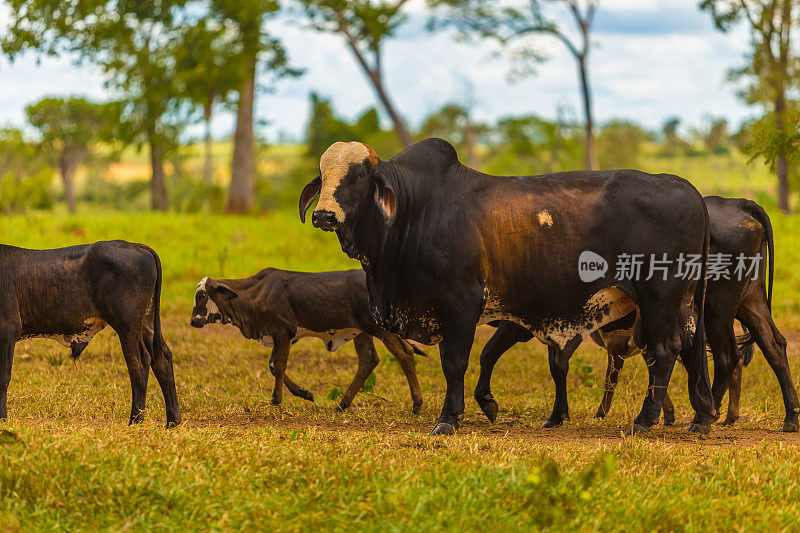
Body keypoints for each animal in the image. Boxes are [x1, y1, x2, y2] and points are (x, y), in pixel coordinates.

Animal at [0, 240, 180, 424]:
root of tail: (133, 245)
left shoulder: (8, 328)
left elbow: (3, 377)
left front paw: (3, 419)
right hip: (147, 323)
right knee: (162, 358)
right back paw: (173, 421)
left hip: (128, 327)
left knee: (139, 363)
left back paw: (136, 420)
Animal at [300, 139, 712, 434]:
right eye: (322, 175)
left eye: (358, 176)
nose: (324, 215)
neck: (416, 210)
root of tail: (686, 187)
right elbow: (479, 358)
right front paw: (482, 406)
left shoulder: (461, 305)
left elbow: (456, 363)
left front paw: (448, 419)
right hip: (683, 305)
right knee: (689, 349)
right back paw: (701, 418)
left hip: (659, 299)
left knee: (664, 353)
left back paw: (644, 421)